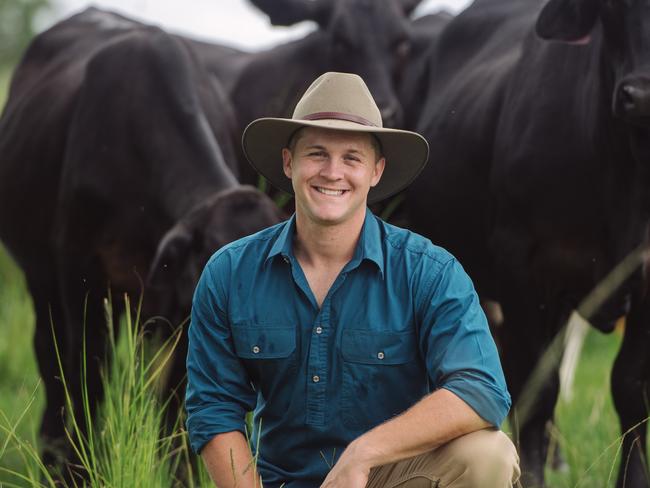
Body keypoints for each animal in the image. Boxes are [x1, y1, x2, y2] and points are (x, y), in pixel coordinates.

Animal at [0, 6, 280, 466]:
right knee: (54, 372)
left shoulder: (184, 318)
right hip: (43, 285)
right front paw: (80, 468)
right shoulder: (81, 287)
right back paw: (52, 454)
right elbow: (87, 387)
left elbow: (178, 409)